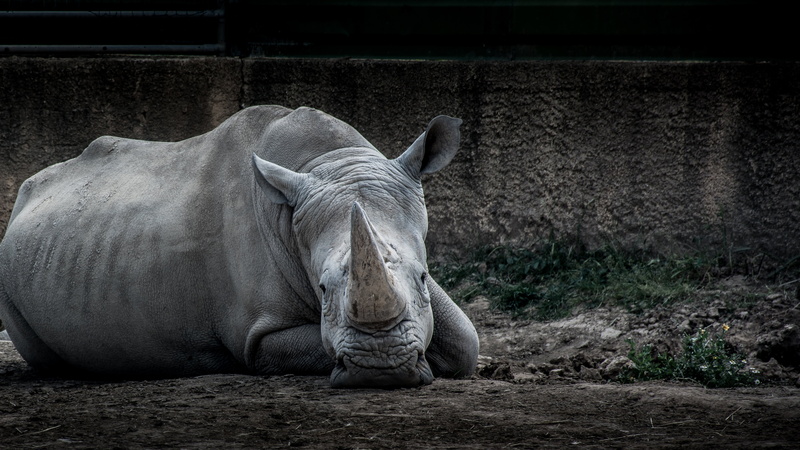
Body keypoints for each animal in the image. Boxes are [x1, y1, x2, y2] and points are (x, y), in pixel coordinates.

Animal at [0, 105, 479, 388]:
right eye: (323, 290)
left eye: (424, 276)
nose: (381, 369)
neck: (332, 161)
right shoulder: (258, 335)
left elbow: (465, 338)